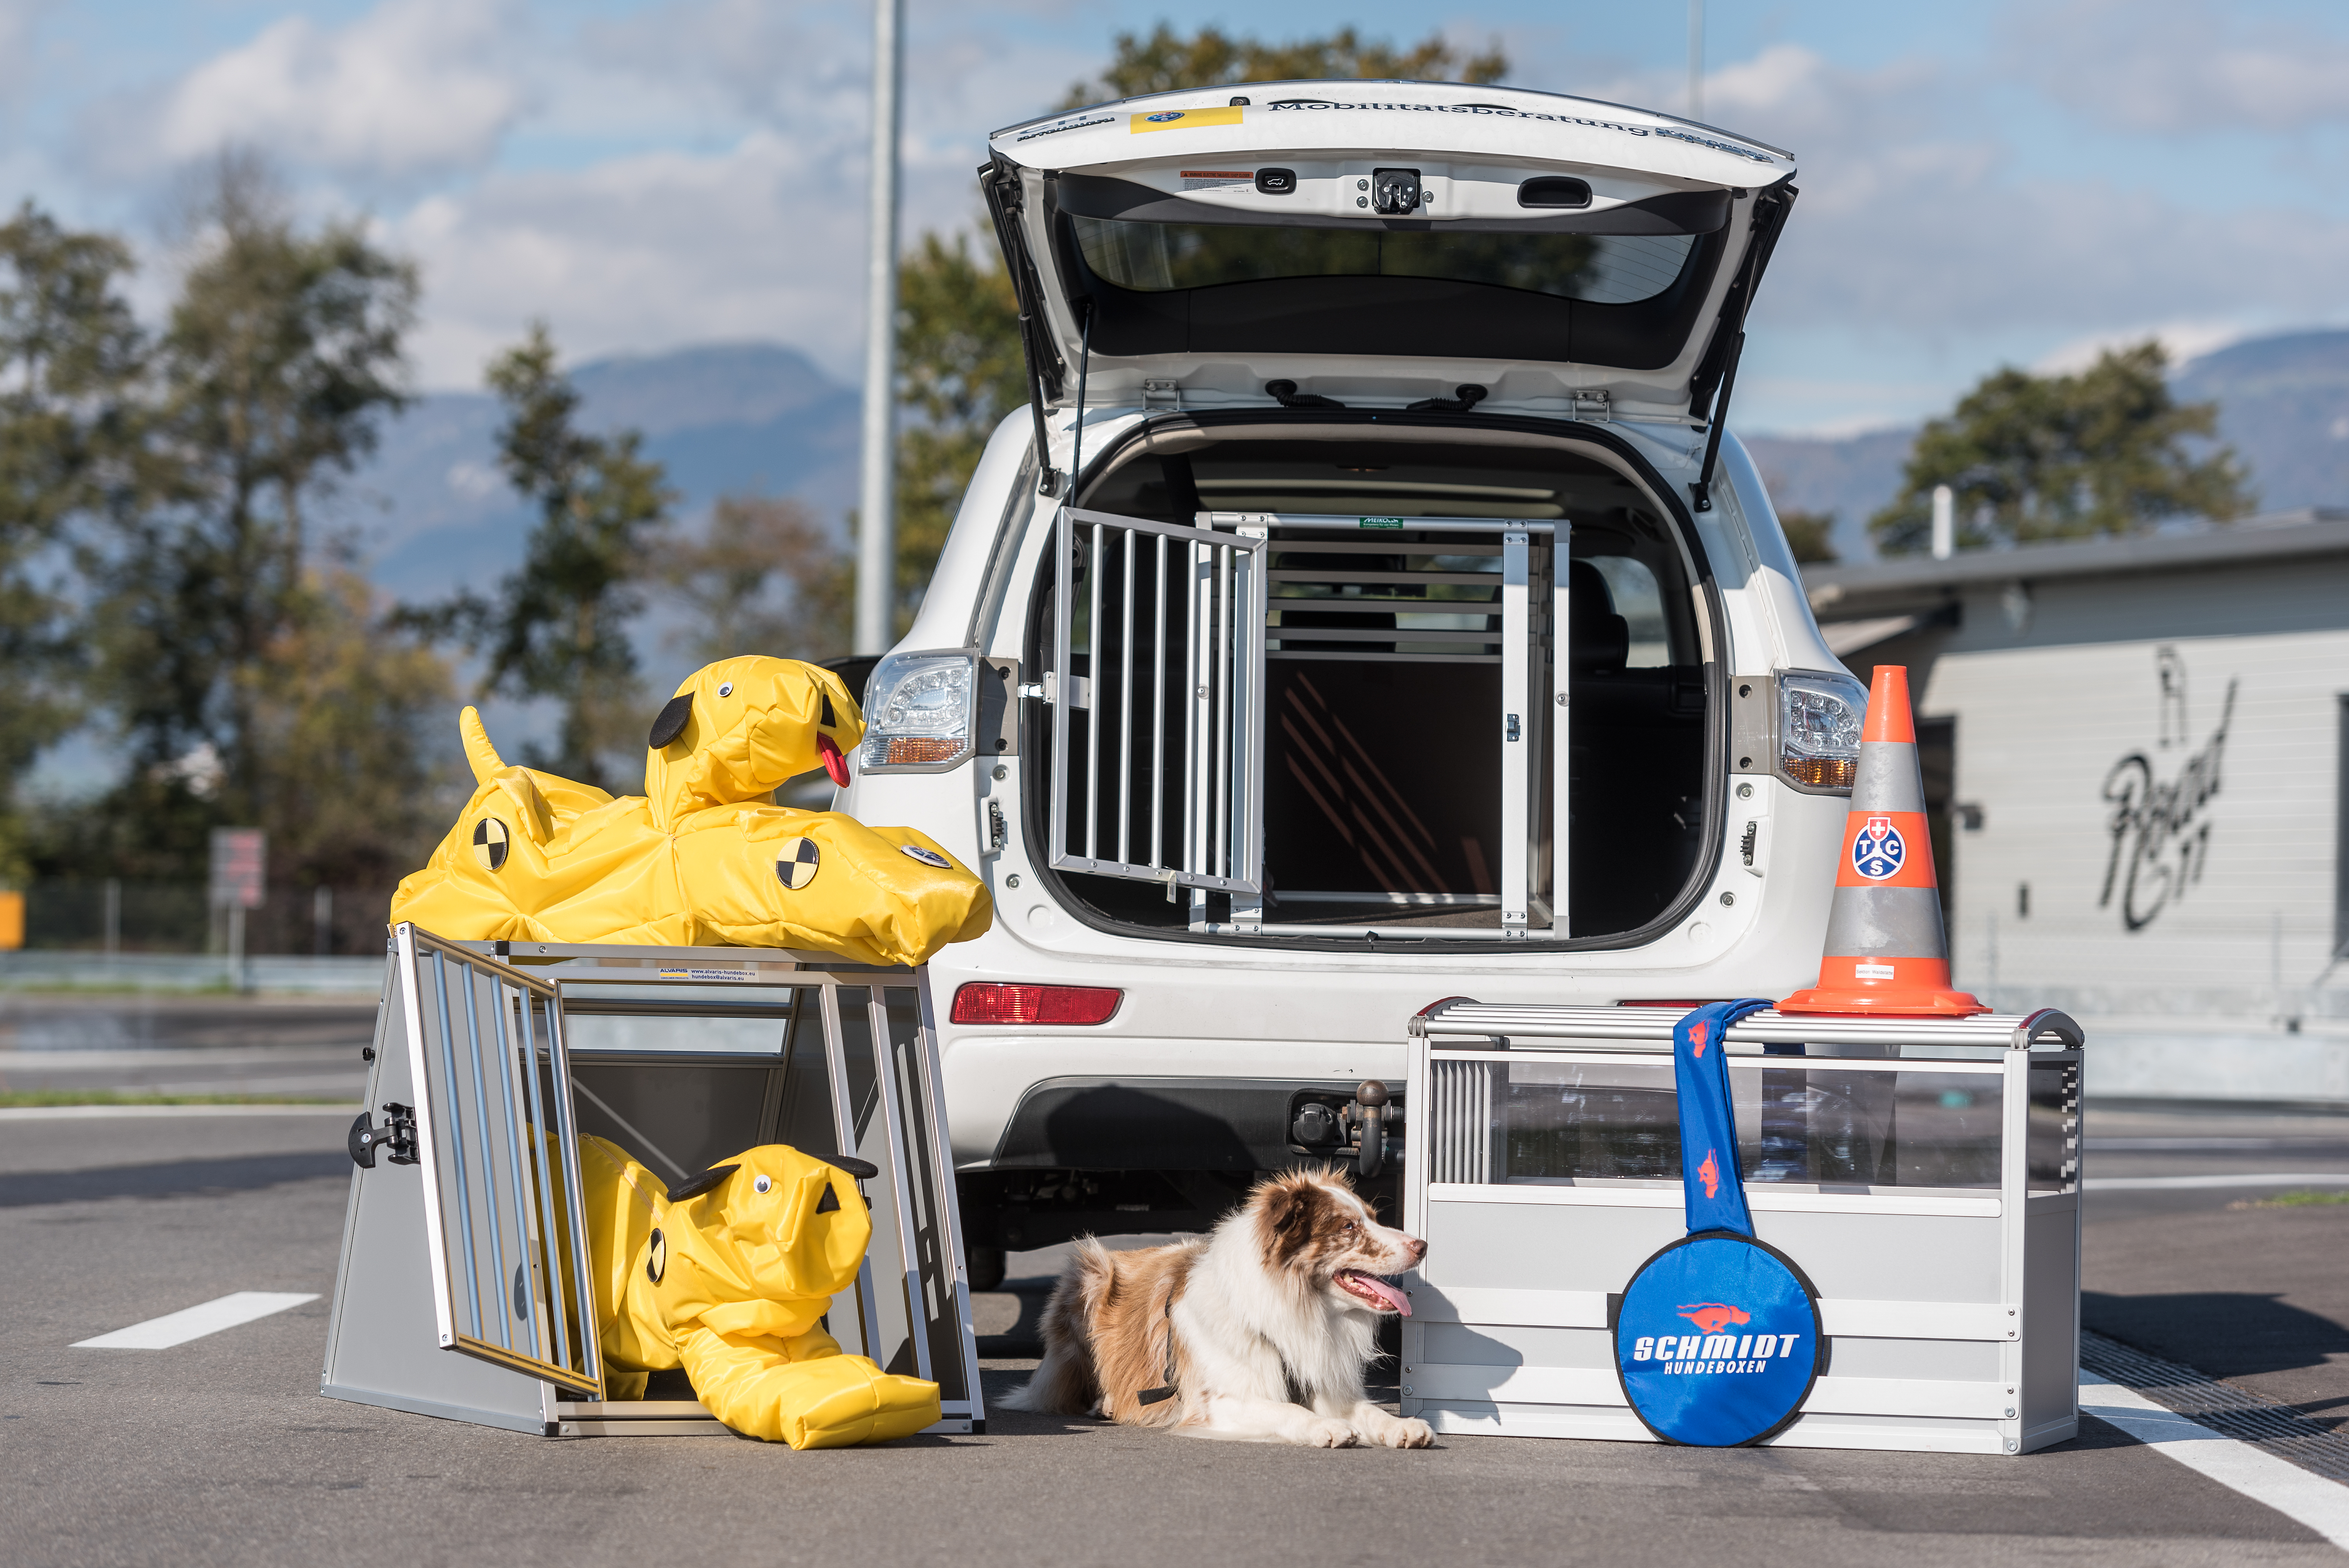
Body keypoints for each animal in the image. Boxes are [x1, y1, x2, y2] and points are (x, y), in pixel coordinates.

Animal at [575, 1131, 935, 1455]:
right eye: (762, 1185)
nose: (830, 1190)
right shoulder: (715, 1335)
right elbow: (763, 1382)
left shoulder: (804, 1328)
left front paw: (885, 1389)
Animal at [1005, 1173, 1428, 1446]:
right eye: (1348, 1227)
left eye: (1373, 1217)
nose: (1423, 1245)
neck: (1293, 1309)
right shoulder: (1215, 1403)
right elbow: (1287, 1411)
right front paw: (1326, 1428)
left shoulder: (1324, 1383)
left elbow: (1368, 1410)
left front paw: (1402, 1425)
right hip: (1090, 1271)